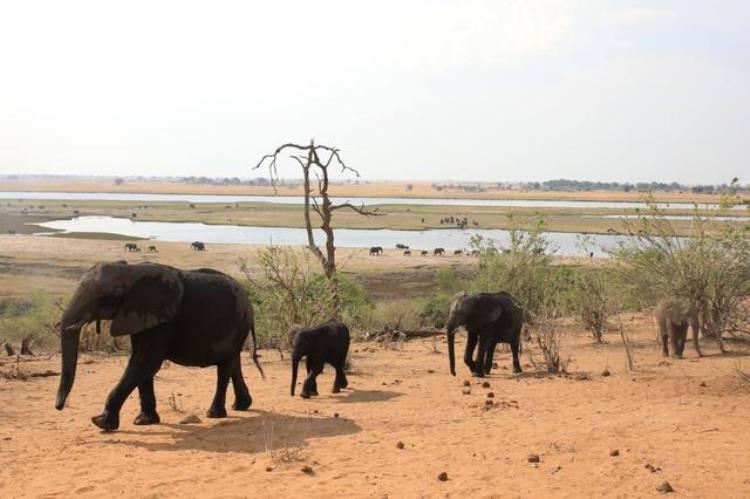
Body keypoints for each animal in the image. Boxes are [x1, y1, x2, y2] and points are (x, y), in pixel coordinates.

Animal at [53, 260, 264, 432]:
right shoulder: (140, 316)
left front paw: (101, 422)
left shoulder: (161, 317)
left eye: (104, 296)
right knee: (233, 361)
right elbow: (142, 363)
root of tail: (250, 304)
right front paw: (144, 422)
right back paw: (241, 406)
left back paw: (214, 414)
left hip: (238, 321)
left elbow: (146, 361)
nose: (58, 407)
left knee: (225, 366)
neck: (130, 271)